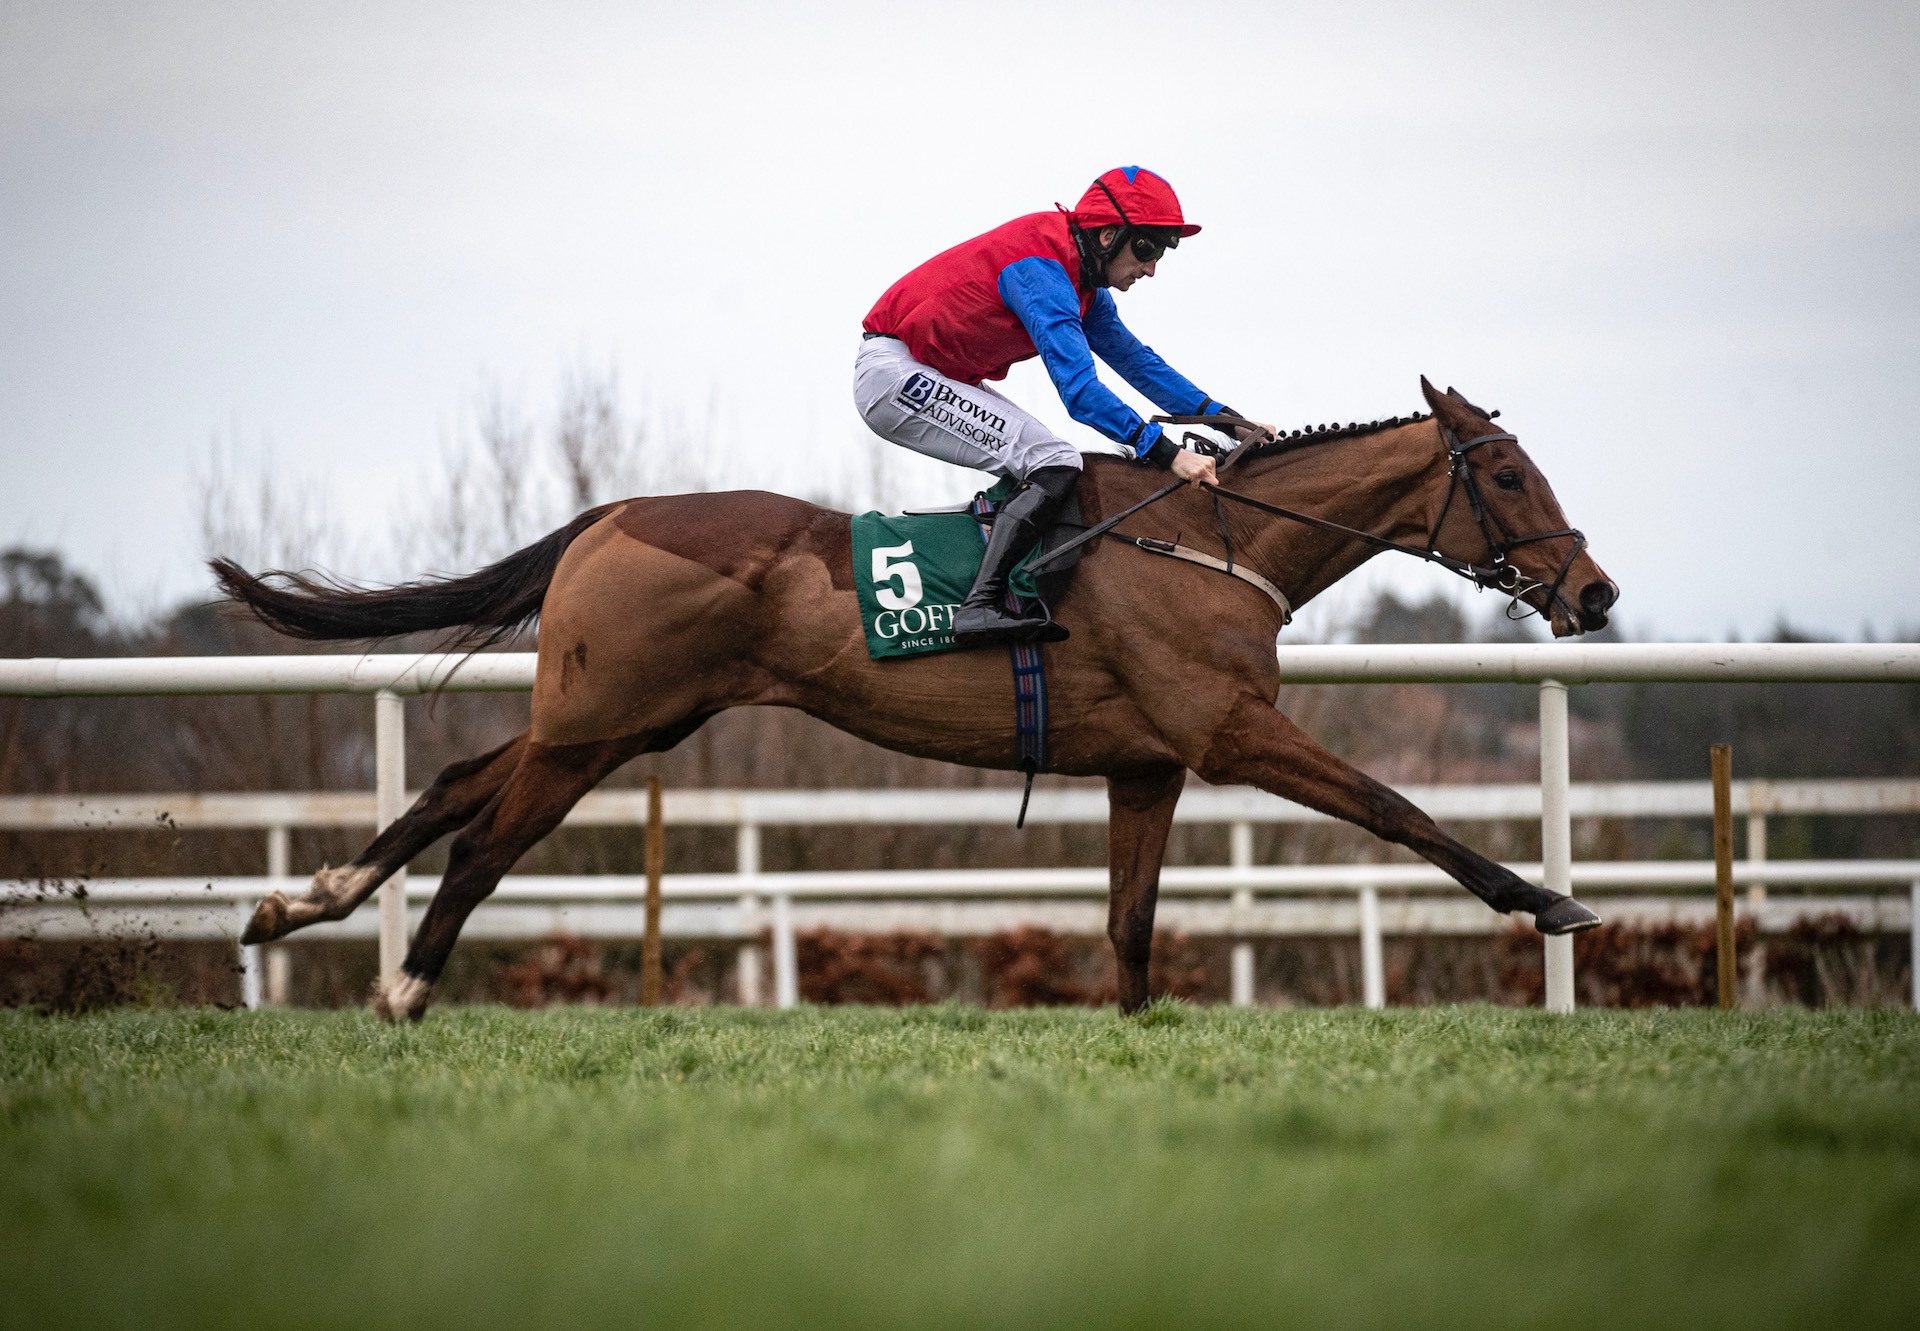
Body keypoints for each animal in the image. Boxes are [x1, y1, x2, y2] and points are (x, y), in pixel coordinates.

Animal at [214, 374, 1620, 1014]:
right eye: (1505, 474)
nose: (1596, 592)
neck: (1213, 543)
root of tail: (614, 513)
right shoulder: (1229, 729)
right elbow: (1398, 809)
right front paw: (1550, 900)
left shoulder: (1146, 763)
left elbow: (1130, 921)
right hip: (600, 723)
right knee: (488, 838)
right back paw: (404, 985)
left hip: (622, 715)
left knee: (459, 782)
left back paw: (300, 902)